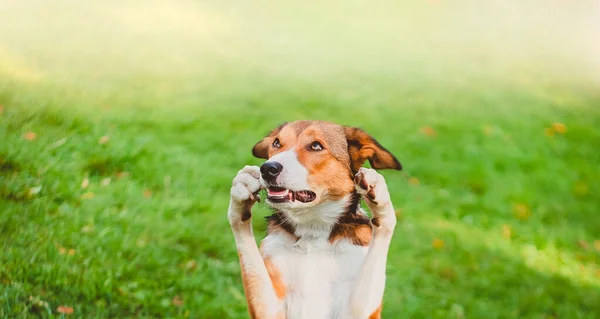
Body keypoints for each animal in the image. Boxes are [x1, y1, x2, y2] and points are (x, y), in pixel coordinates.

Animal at [227, 121, 400, 318]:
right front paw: (242, 192)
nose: (267, 168)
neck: (313, 230)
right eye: (276, 143)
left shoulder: (356, 311)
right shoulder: (269, 309)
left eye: (316, 146)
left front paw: (378, 193)